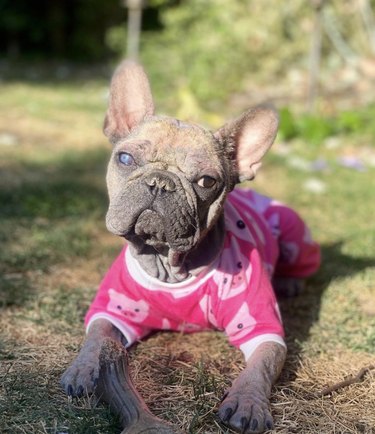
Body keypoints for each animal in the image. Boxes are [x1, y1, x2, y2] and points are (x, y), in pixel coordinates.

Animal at [61, 62, 320, 434]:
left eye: (207, 182)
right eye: (125, 158)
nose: (160, 183)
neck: (170, 266)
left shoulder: (261, 327)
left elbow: (260, 366)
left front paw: (248, 401)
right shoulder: (113, 311)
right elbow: (96, 338)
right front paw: (83, 368)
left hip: (295, 231)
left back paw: (289, 282)